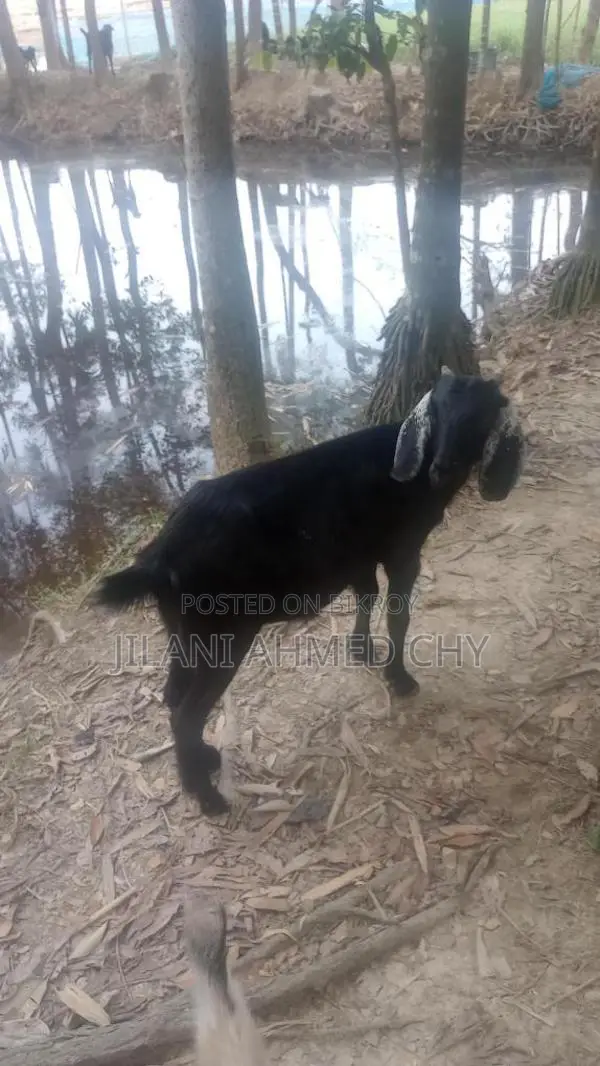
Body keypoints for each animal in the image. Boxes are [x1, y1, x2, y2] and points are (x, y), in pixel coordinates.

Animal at [94, 369, 524, 817]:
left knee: (172, 695)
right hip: (222, 633)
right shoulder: (403, 552)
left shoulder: (358, 557)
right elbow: (398, 615)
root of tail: (159, 558)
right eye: (438, 411)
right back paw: (210, 799)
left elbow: (367, 594)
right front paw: (400, 678)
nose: (441, 468)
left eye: (479, 418)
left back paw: (203, 762)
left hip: (182, 628)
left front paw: (361, 650)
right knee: (186, 714)